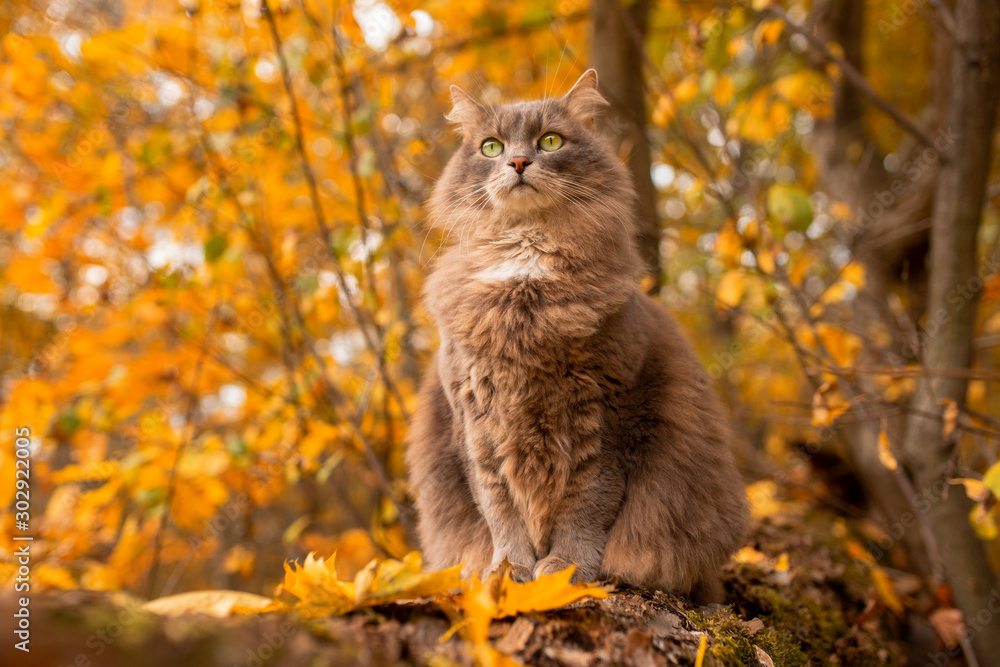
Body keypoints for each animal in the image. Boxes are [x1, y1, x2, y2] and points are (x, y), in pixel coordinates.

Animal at [402, 70, 748, 604]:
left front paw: (565, 572)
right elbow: (501, 511)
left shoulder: (609, 417)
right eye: (490, 147)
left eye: (550, 141)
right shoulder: (475, 421)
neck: (526, 280)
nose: (518, 162)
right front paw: (507, 571)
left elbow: (586, 510)